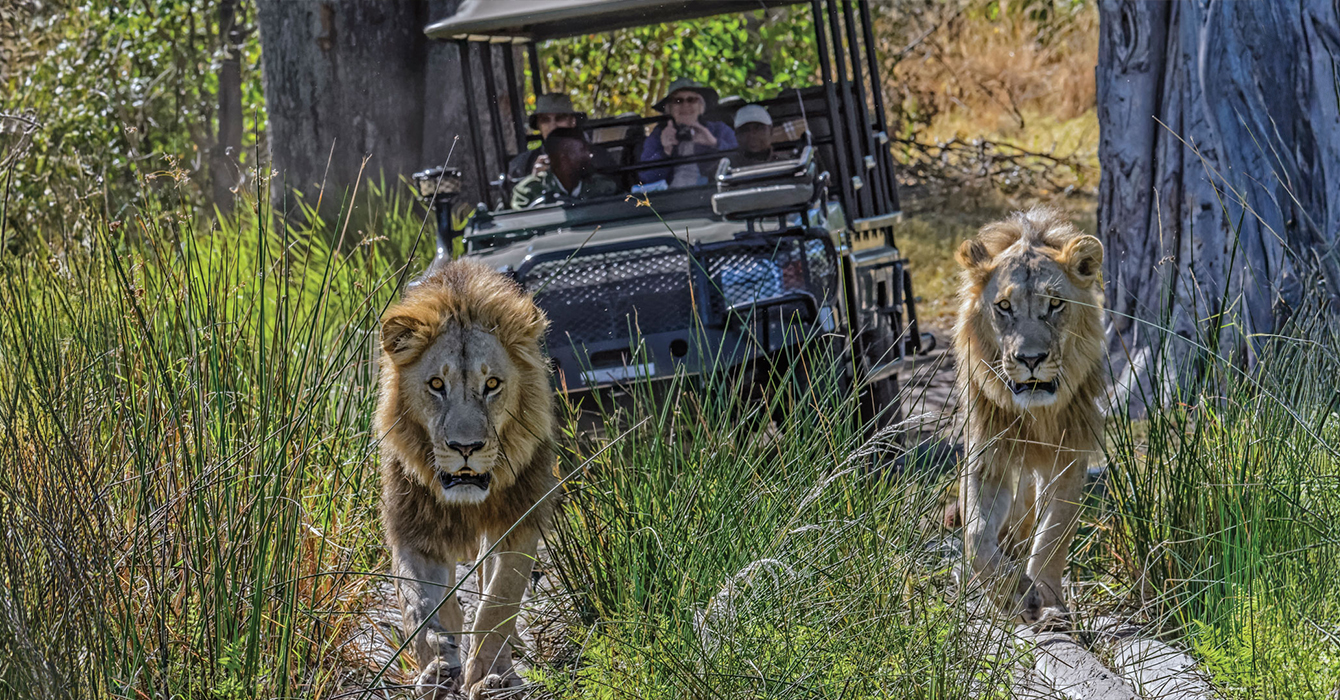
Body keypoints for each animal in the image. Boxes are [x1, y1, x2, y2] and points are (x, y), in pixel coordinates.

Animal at [377, 257, 554, 697]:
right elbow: (419, 606)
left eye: (491, 384)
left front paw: (488, 676)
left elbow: (499, 599)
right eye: (436, 384)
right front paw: (438, 668)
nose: (465, 447)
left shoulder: (519, 519)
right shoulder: (413, 530)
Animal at [954, 206, 1109, 622]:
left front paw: (1049, 602)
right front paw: (1013, 596)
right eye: (1004, 306)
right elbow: (975, 535)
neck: (1038, 416)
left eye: (1055, 304)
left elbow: (1055, 533)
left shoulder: (1070, 455)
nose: (1031, 359)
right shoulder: (986, 455)